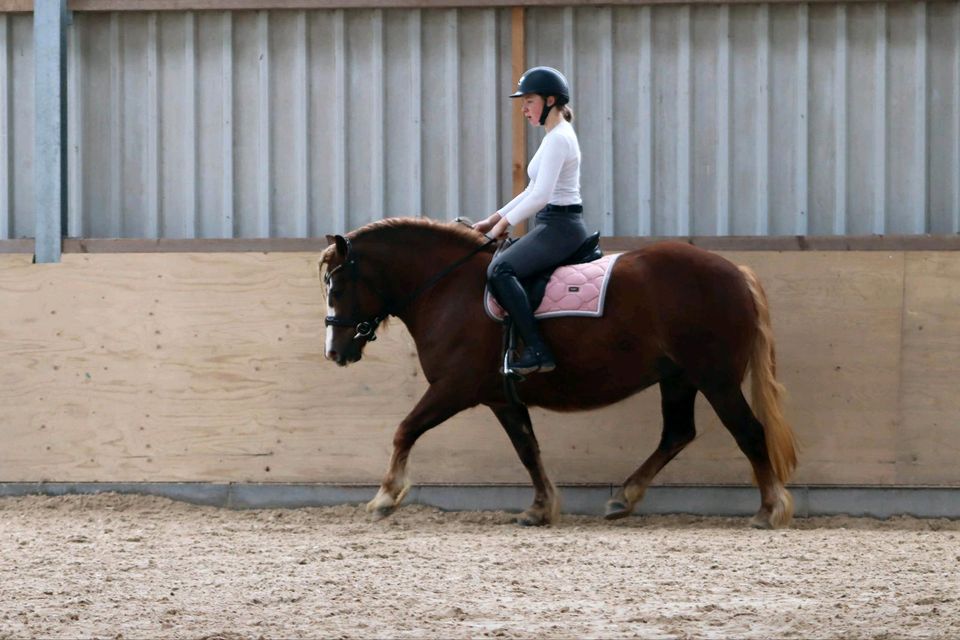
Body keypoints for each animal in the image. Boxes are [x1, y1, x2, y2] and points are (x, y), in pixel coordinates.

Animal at [318, 218, 800, 528]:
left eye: (337, 287)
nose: (335, 352)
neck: (449, 288)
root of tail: (735, 272)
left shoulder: (454, 388)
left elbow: (405, 429)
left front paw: (384, 497)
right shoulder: (501, 397)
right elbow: (527, 450)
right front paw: (539, 508)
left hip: (715, 379)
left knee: (748, 432)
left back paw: (768, 510)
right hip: (678, 378)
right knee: (677, 434)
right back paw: (623, 497)